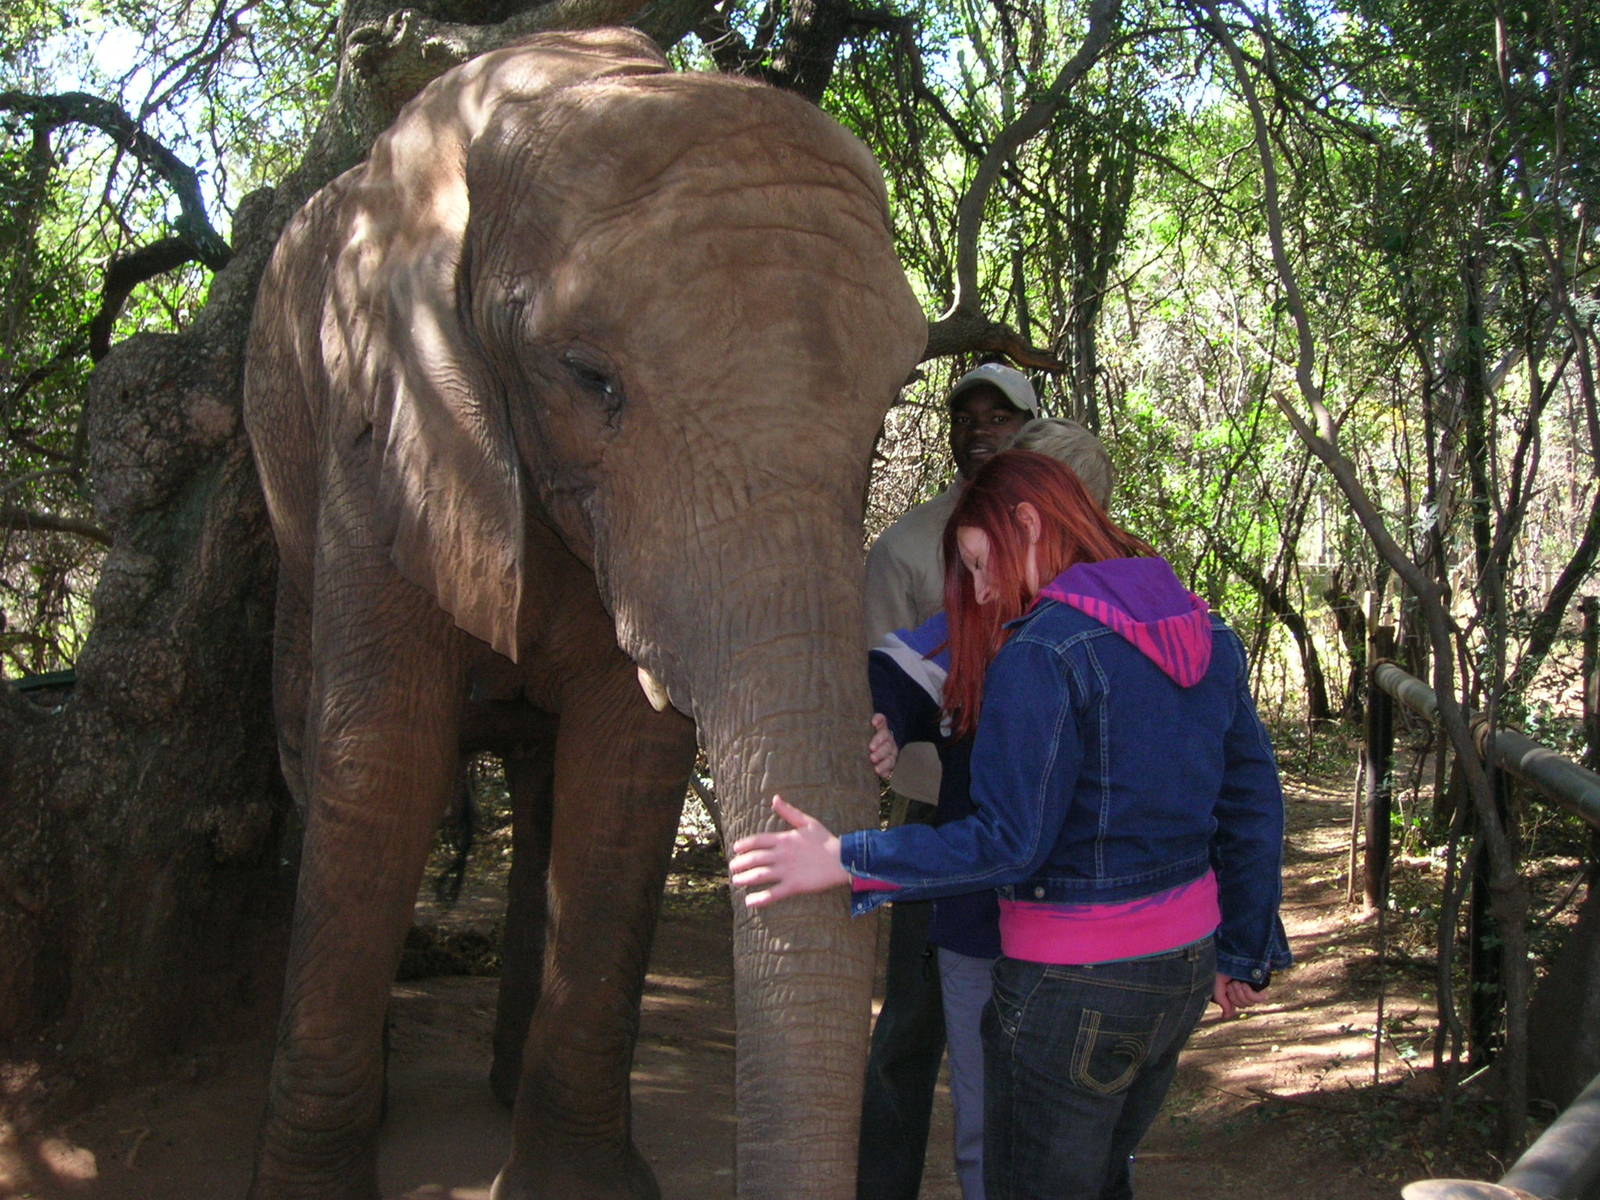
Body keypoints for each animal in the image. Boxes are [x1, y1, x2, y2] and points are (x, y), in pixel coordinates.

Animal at [241, 25, 927, 1200]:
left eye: (886, 413)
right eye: (588, 378)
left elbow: (628, 768)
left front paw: (576, 1182)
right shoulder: (377, 420)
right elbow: (381, 759)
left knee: (544, 786)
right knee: (313, 737)